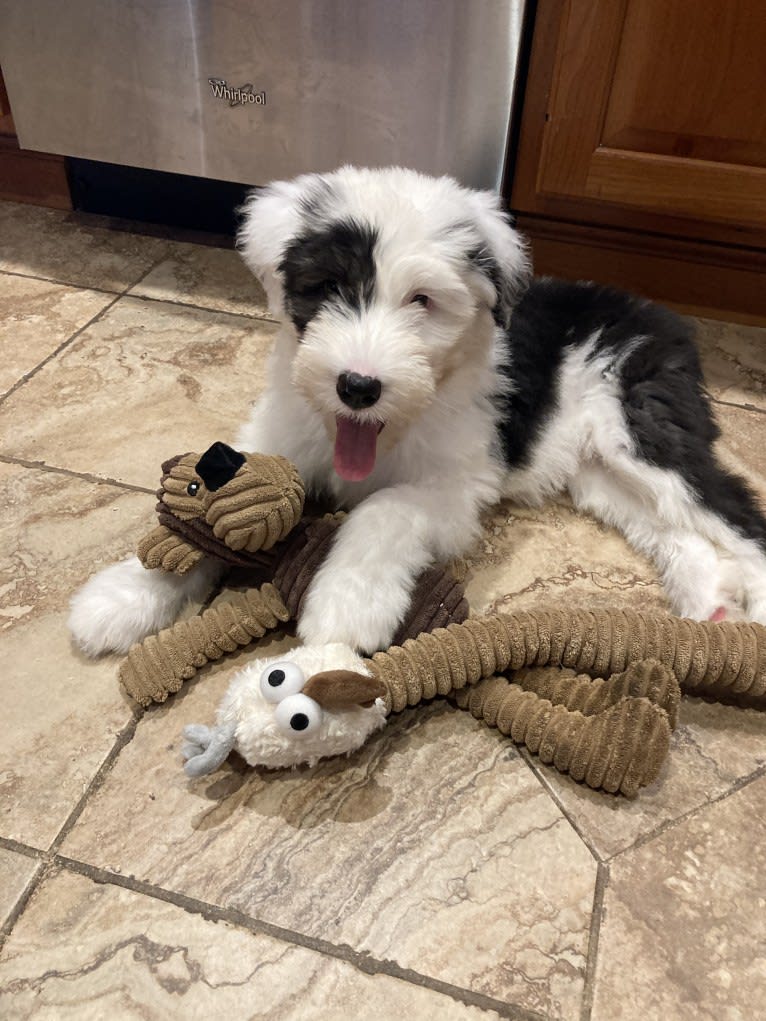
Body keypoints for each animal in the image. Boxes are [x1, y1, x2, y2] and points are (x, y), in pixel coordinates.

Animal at [70, 163, 766, 657]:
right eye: (328, 286)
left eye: (422, 301)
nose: (358, 386)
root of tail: (661, 315)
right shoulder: (280, 440)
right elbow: (205, 514)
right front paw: (126, 596)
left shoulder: (457, 484)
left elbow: (385, 509)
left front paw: (348, 607)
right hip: (596, 472)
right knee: (672, 528)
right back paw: (710, 604)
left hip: (640, 426)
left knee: (731, 512)